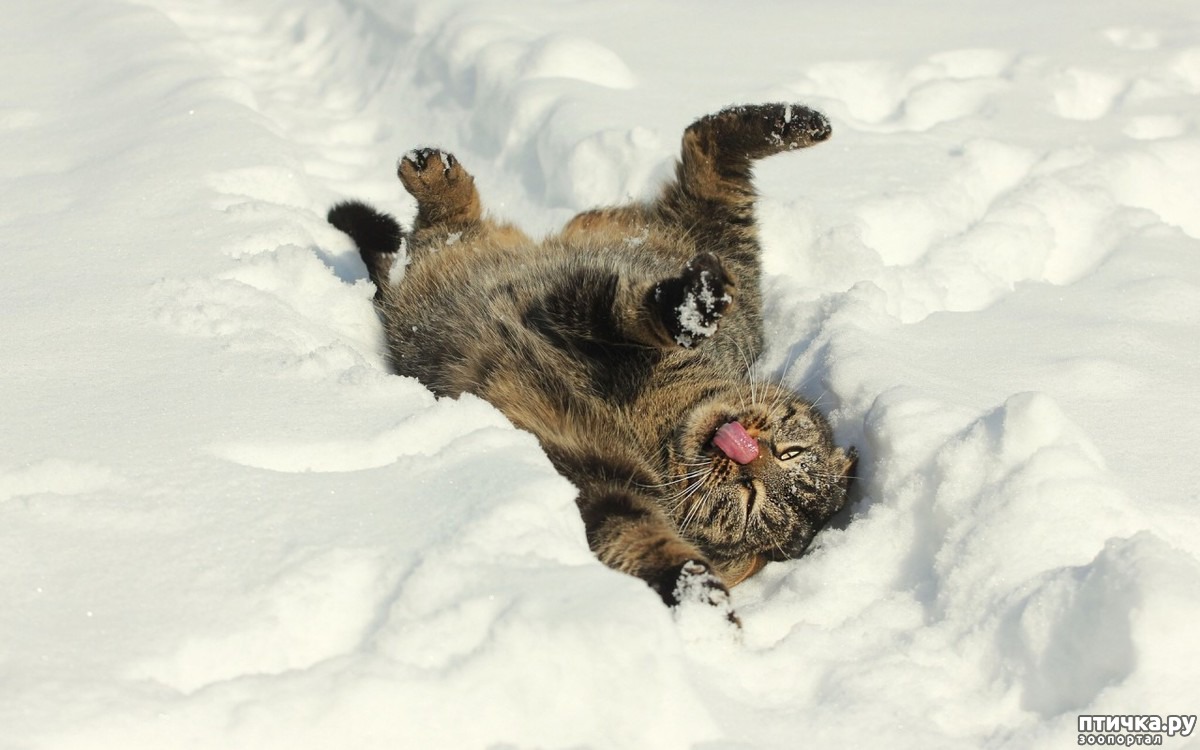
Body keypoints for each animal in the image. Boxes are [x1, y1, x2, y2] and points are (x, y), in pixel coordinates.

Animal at [328, 103, 854, 619]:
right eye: (789, 452)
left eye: (750, 500)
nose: (748, 454)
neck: (658, 418)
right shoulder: (584, 309)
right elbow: (632, 312)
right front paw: (689, 306)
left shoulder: (602, 482)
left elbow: (640, 538)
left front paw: (701, 601)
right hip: (718, 246)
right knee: (705, 148)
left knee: (436, 235)